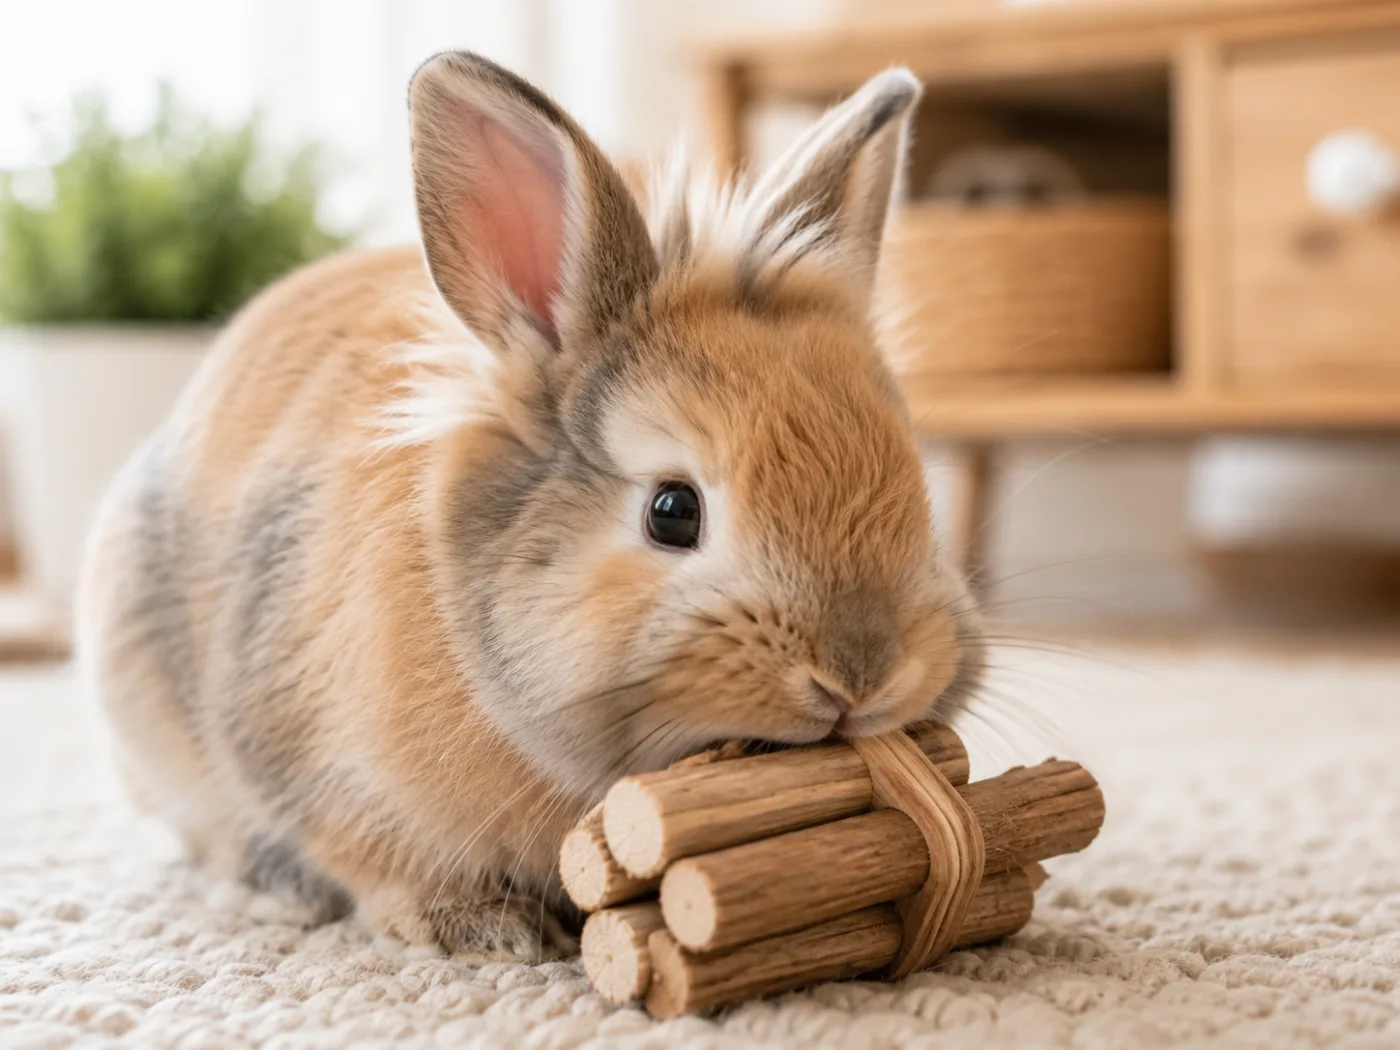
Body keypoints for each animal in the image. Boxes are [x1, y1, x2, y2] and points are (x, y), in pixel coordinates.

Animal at [77, 52, 985, 960]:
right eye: (672, 511)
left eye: (917, 484)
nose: (861, 678)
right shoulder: (316, 763)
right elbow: (373, 859)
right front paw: (484, 929)